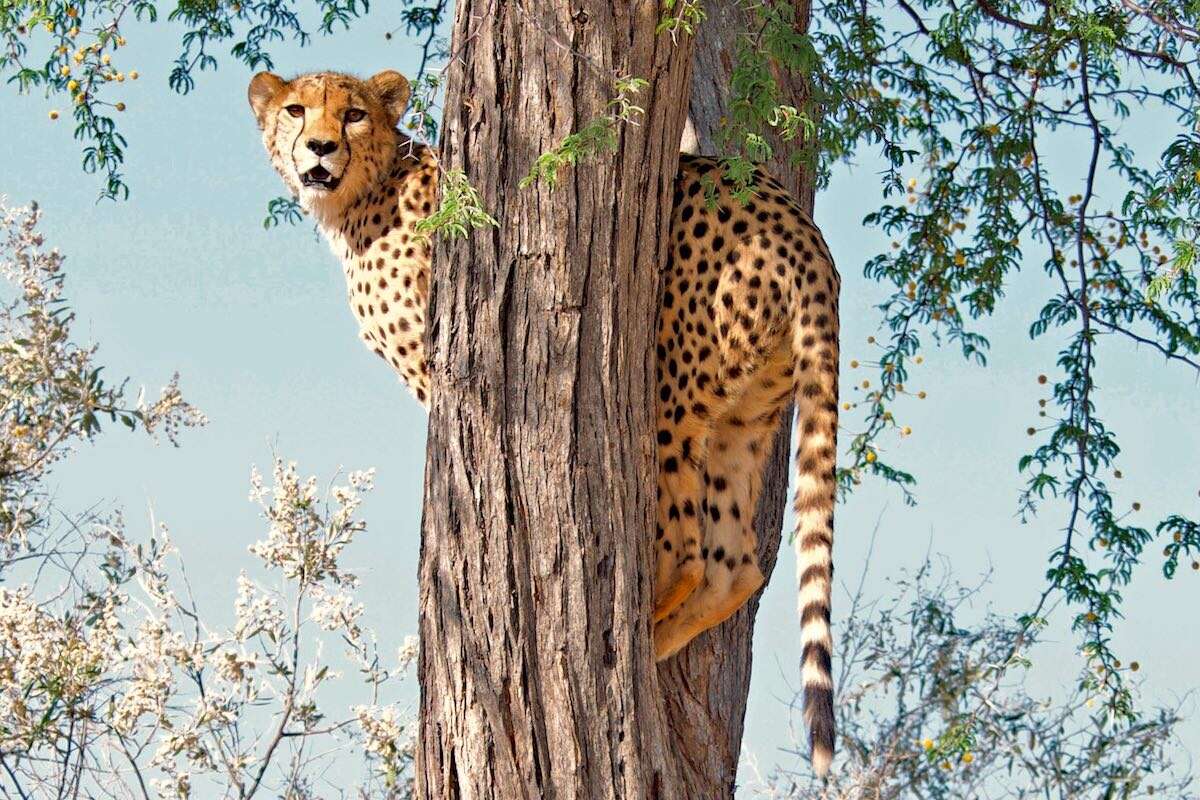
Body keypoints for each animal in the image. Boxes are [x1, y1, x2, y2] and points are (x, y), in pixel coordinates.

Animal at [248, 68, 840, 777]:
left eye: (354, 114)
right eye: (296, 110)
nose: (318, 147)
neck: (369, 190)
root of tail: (799, 228)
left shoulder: (437, 366)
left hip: (669, 388)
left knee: (688, 548)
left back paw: (630, 635)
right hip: (745, 417)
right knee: (737, 565)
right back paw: (657, 643)